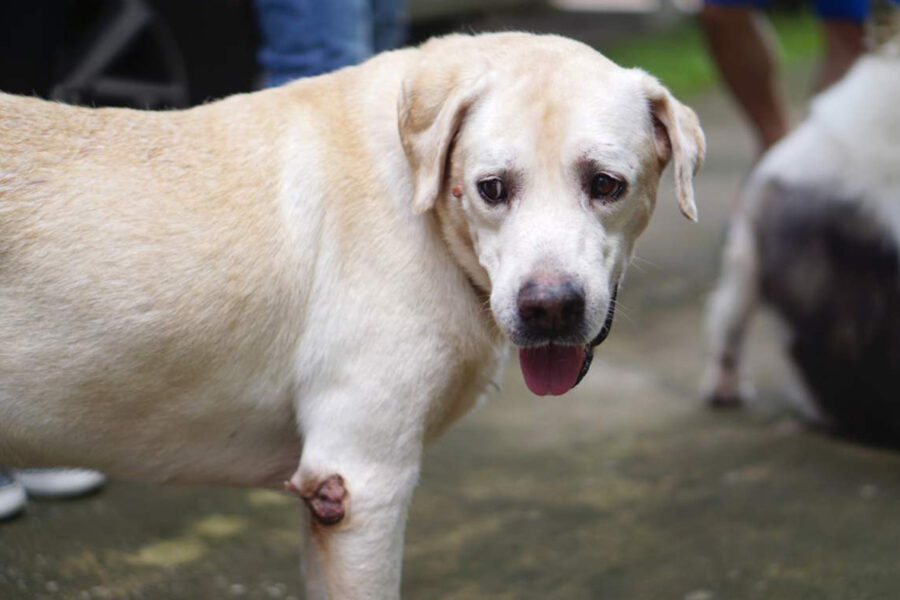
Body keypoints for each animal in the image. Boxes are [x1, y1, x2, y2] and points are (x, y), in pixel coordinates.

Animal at [0, 34, 704, 600]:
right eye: (492, 188)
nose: (549, 307)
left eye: (606, 184)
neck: (419, 196)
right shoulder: (360, 483)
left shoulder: (330, 497)